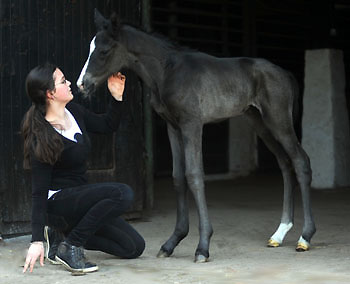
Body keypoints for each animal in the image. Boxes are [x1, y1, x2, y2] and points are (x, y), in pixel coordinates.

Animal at [77, 10, 318, 262]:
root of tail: (285, 73)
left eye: (104, 51)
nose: (82, 85)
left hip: (278, 121)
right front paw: (171, 242)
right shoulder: (173, 127)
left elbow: (194, 176)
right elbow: (178, 177)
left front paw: (202, 246)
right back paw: (279, 233)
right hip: (260, 123)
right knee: (285, 164)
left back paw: (305, 237)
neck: (167, 72)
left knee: (300, 161)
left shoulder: (192, 124)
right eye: (91, 47)